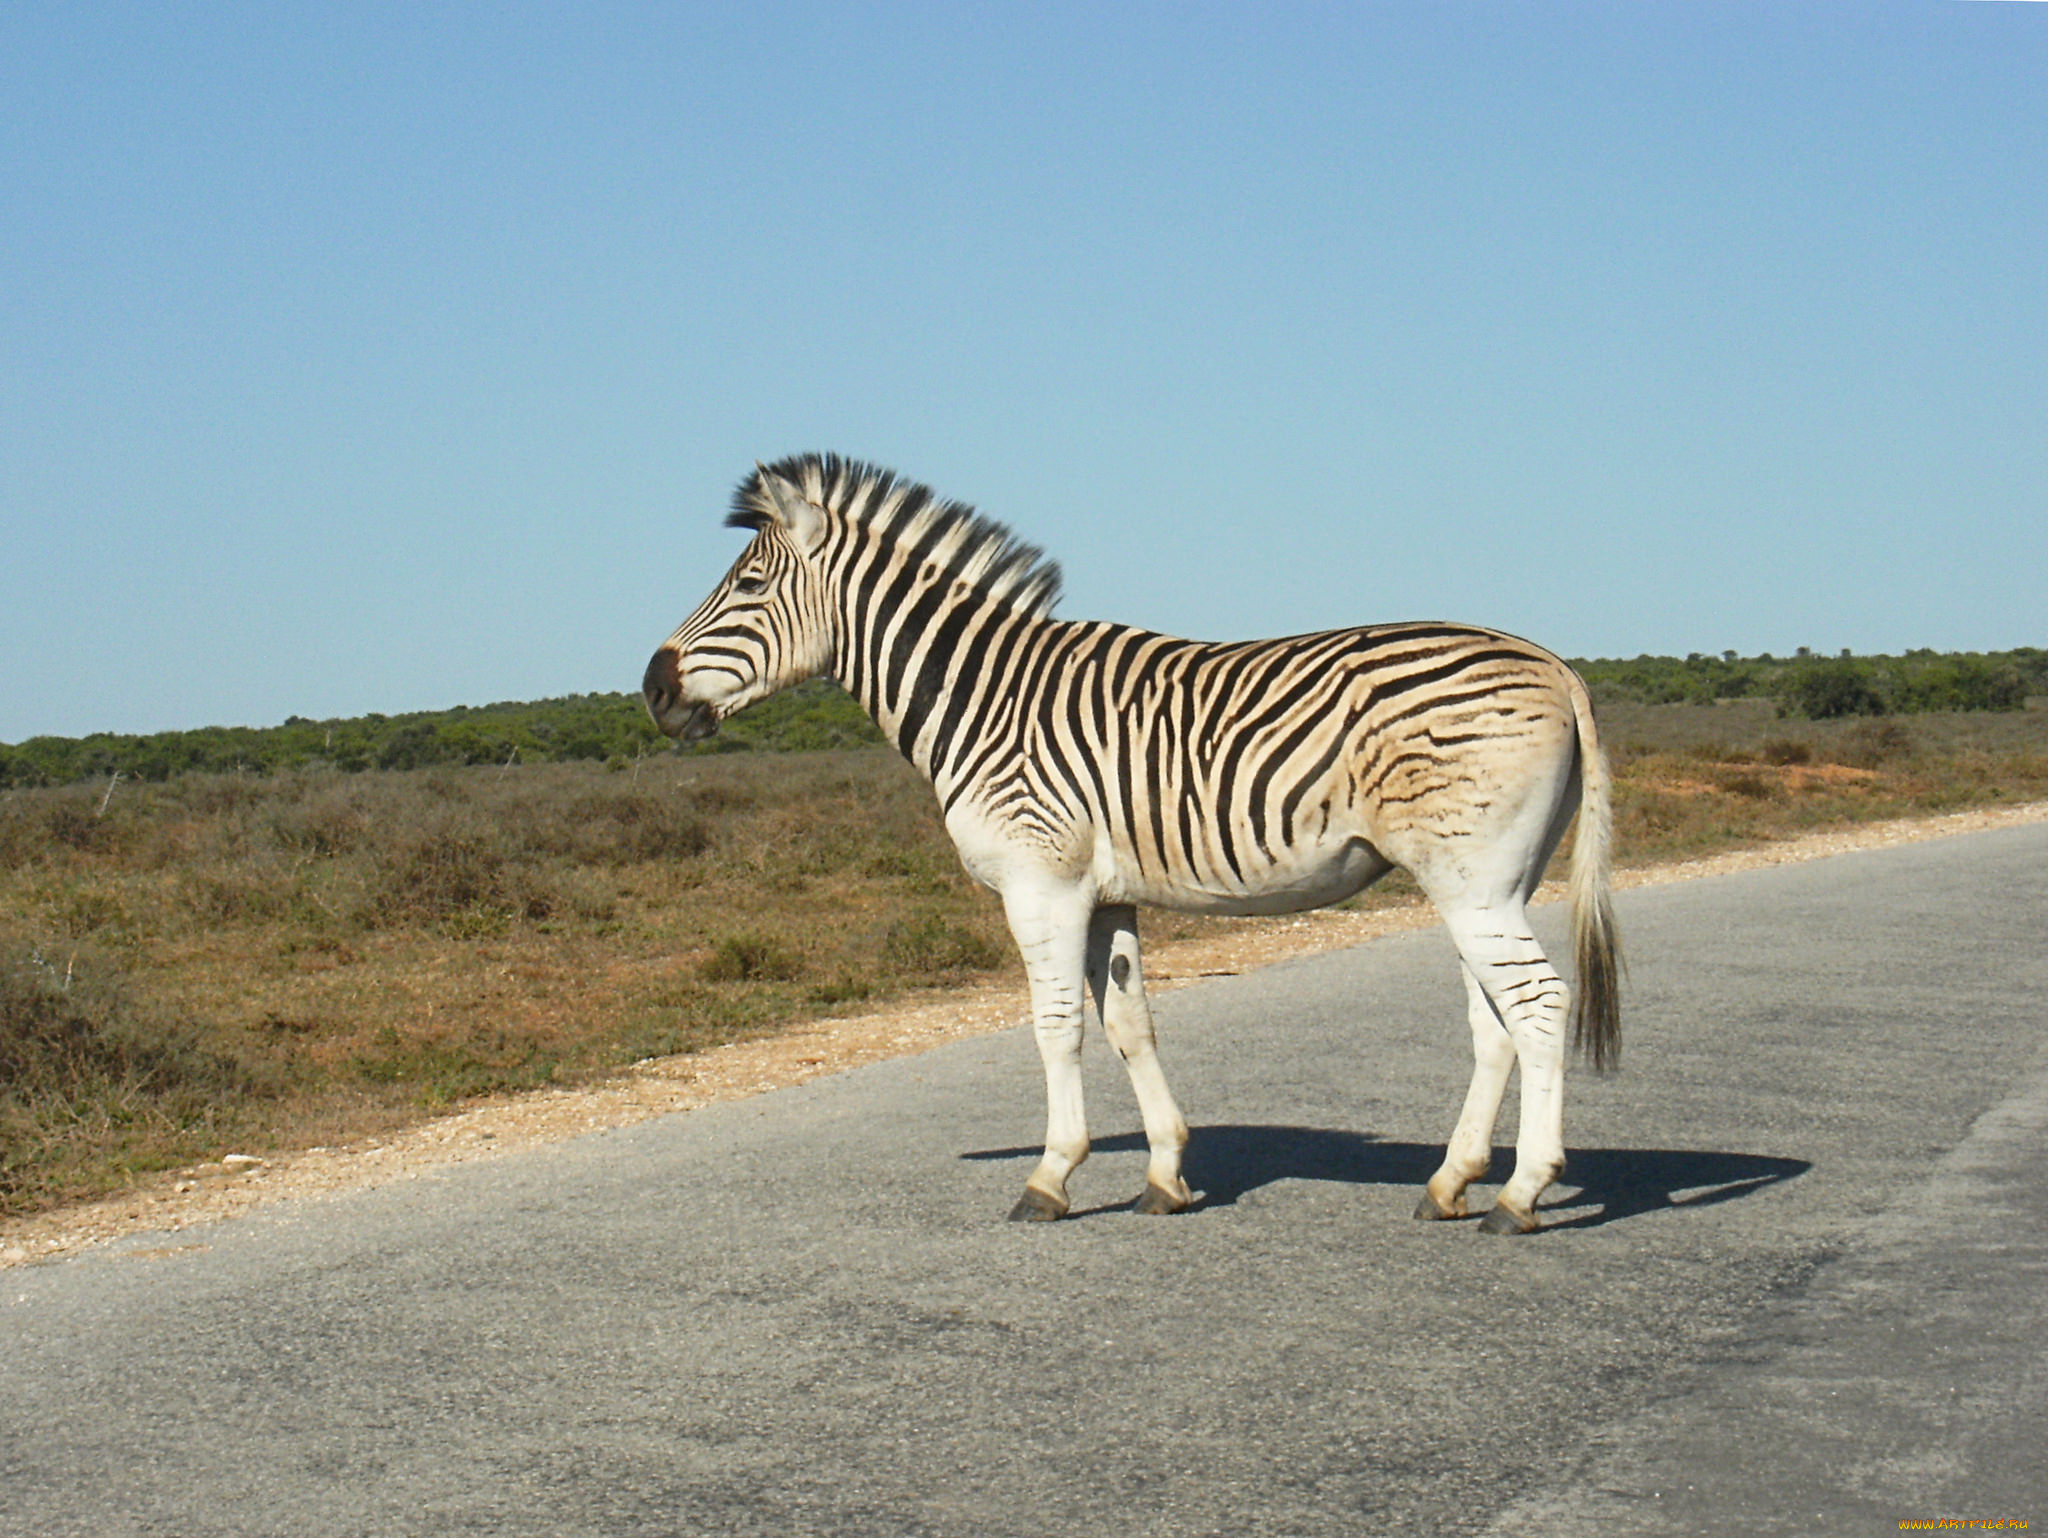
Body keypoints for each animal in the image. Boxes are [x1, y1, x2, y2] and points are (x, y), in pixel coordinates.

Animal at [638, 450, 1613, 1236]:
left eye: (749, 587)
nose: (651, 688)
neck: (982, 698)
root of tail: (1552, 662)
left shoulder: (1043, 883)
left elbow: (1056, 1026)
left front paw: (1049, 1178)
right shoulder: (1106, 894)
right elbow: (1129, 1026)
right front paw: (1165, 1176)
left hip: (1472, 877)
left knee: (1539, 1004)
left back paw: (1521, 1195)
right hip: (1485, 879)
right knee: (1496, 1021)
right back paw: (1450, 1184)